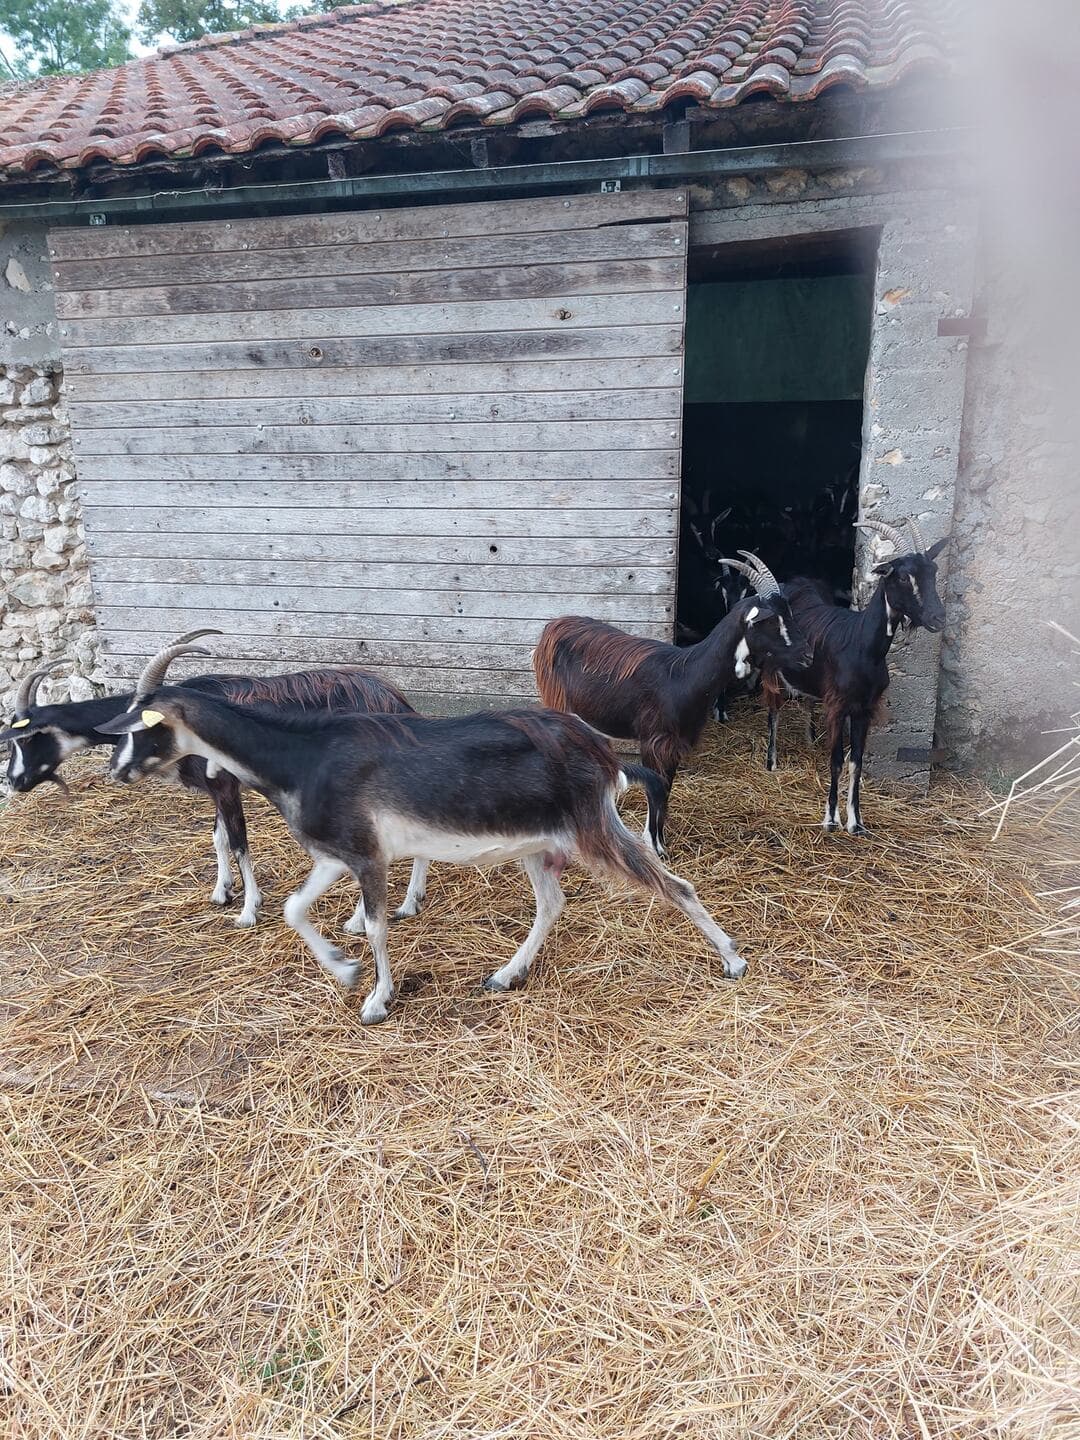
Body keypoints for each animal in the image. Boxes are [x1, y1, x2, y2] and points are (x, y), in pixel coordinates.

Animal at [1, 638, 429, 929]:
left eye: (29, 738)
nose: (14, 782)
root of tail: (397, 701)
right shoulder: (219, 791)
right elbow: (219, 838)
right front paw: (222, 891)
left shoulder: (224, 785)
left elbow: (239, 843)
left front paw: (248, 910)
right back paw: (409, 903)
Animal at [97, 637, 749, 1025]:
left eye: (144, 724)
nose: (116, 770)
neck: (303, 755)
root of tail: (602, 753)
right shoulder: (339, 854)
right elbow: (294, 909)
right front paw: (343, 967)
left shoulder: (367, 857)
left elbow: (377, 927)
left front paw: (375, 999)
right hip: (542, 845)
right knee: (552, 904)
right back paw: (505, 975)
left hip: (593, 828)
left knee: (675, 886)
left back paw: (733, 960)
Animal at [533, 552, 812, 855]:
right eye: (772, 621)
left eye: (790, 613)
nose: (808, 656)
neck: (684, 675)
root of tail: (552, 627)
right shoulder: (653, 741)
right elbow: (655, 789)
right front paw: (653, 846)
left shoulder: (675, 744)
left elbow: (667, 788)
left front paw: (660, 844)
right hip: (557, 701)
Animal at [761, 517, 948, 834]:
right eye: (902, 577)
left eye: (933, 573)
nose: (939, 617)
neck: (862, 645)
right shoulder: (838, 707)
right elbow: (836, 760)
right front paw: (830, 820)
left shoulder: (864, 709)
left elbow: (856, 762)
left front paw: (856, 822)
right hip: (773, 670)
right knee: (774, 709)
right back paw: (771, 763)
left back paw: (808, 740)